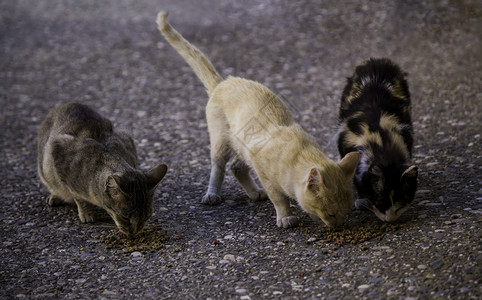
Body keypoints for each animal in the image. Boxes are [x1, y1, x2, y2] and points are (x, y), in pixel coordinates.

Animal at [37, 102, 168, 234]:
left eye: (147, 216)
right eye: (124, 217)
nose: (134, 233)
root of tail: (65, 105)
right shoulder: (60, 160)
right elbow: (79, 198)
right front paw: (87, 213)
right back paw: (55, 196)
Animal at [156, 12, 360, 227]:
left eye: (347, 210)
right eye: (331, 213)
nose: (339, 226)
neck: (299, 153)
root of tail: (224, 82)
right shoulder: (263, 171)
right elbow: (279, 198)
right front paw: (286, 217)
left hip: (241, 146)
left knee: (236, 167)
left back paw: (254, 194)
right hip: (221, 142)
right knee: (218, 167)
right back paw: (212, 195)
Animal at [338, 58, 418, 221]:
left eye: (400, 204)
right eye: (381, 203)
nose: (390, 220)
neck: (382, 141)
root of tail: (377, 60)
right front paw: (362, 199)